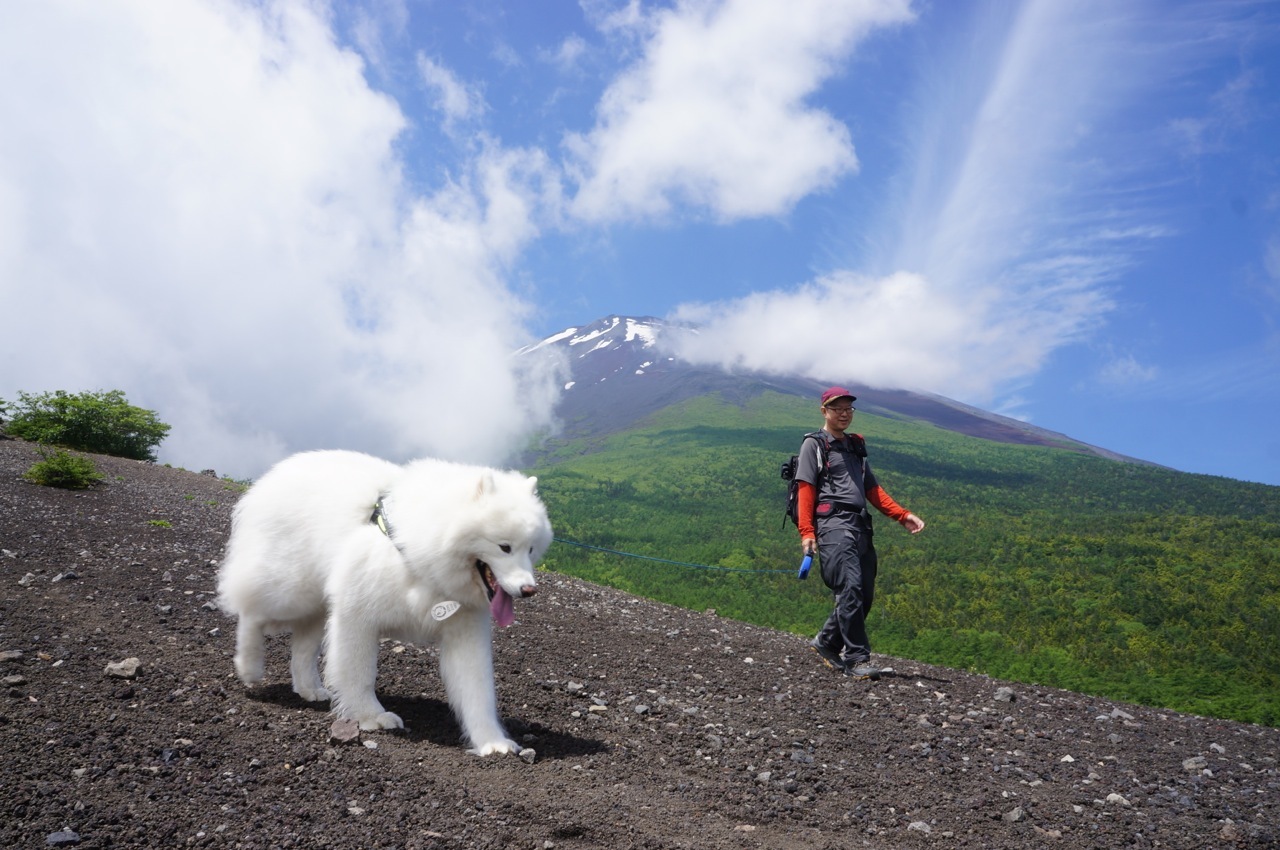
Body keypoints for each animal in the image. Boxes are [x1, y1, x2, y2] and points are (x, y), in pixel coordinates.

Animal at [220, 450, 550, 757]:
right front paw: (371, 717)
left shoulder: (465, 633)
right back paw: (249, 667)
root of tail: (276, 473)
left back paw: (309, 688)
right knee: (250, 611)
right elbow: (360, 674)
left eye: (530, 549)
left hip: (316, 606)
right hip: (290, 592)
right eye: (504, 547)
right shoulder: (356, 616)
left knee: (302, 647)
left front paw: (492, 742)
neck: (417, 553)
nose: (529, 590)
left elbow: (478, 693)